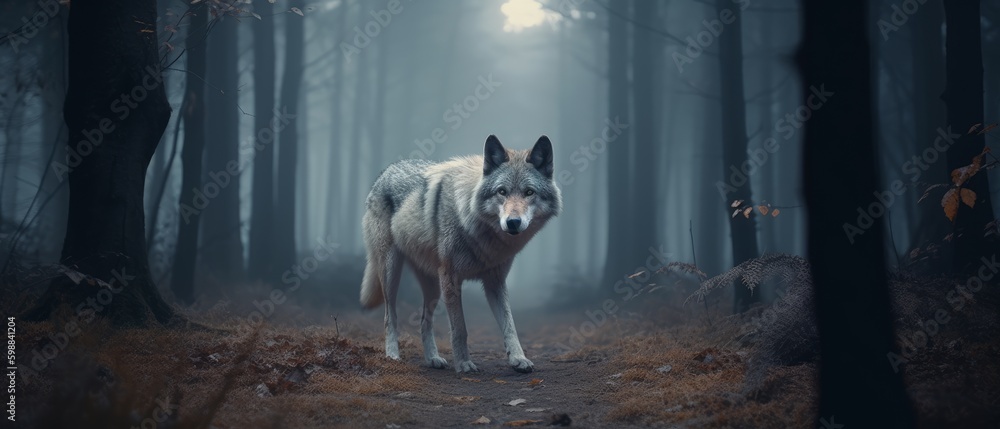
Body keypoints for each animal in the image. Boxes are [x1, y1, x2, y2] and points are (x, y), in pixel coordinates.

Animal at [359, 135, 561, 373]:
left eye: (529, 192)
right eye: (501, 191)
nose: (513, 222)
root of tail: (385, 171)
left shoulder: (495, 282)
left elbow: (510, 326)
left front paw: (518, 359)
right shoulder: (451, 279)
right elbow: (460, 329)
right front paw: (464, 363)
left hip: (433, 286)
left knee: (424, 321)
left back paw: (433, 358)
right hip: (392, 272)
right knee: (390, 317)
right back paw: (392, 355)